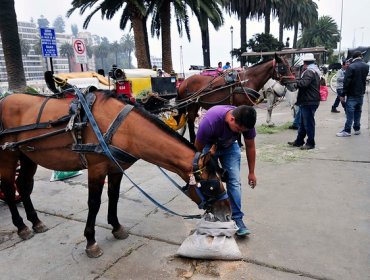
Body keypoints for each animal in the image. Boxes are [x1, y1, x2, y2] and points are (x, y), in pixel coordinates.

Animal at [0, 91, 230, 258]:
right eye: (212, 185)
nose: (227, 213)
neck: (121, 127)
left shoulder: (115, 168)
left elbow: (114, 196)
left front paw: (116, 226)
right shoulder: (96, 168)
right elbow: (94, 203)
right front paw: (90, 241)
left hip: (27, 156)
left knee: (23, 185)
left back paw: (35, 221)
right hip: (8, 155)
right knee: (10, 189)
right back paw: (21, 227)